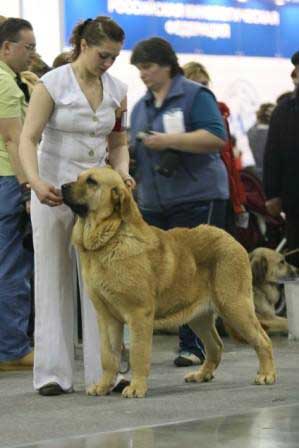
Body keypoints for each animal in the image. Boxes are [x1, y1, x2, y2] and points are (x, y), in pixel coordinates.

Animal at [62, 166, 278, 398]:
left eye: (91, 182)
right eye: (78, 178)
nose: (62, 187)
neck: (109, 239)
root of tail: (231, 238)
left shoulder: (139, 314)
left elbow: (138, 354)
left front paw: (136, 387)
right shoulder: (107, 317)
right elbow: (108, 355)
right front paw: (103, 386)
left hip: (234, 305)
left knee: (262, 340)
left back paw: (266, 375)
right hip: (199, 317)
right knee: (216, 346)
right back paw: (201, 375)